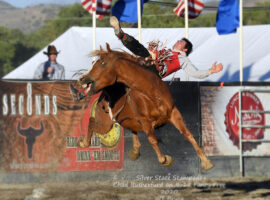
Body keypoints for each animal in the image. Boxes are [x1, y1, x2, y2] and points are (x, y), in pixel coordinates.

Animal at [77, 43, 214, 170]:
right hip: (105, 124)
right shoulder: (144, 120)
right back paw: (83, 143)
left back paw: (135, 150)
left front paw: (205, 161)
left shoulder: (174, 112)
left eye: (103, 63)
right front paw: (166, 160)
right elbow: (152, 140)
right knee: (91, 122)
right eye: (94, 62)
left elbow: (187, 134)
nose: (82, 78)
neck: (152, 92)